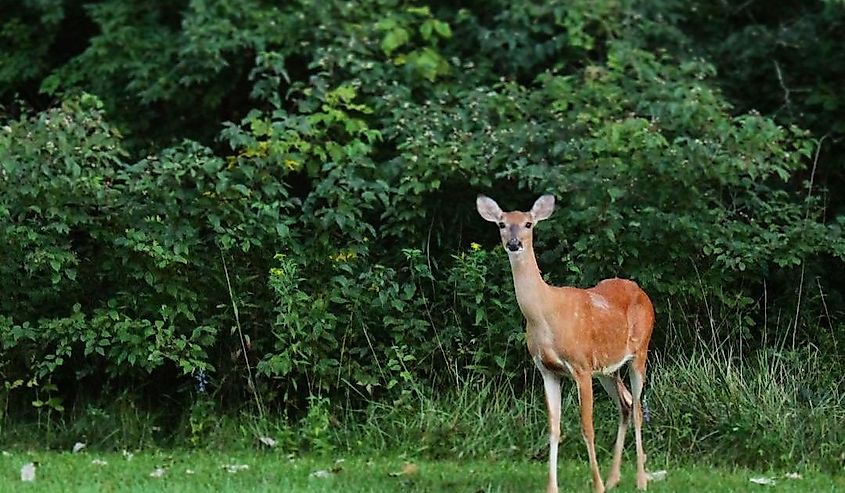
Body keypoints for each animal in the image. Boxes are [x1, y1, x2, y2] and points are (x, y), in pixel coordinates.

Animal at [474, 194, 652, 492]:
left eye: (528, 223)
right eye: (501, 224)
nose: (514, 243)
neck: (545, 315)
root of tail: (642, 292)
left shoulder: (581, 366)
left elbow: (587, 427)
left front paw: (596, 485)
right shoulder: (547, 370)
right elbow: (554, 428)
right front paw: (552, 487)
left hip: (640, 351)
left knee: (638, 408)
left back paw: (639, 479)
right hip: (608, 369)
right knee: (625, 405)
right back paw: (615, 478)